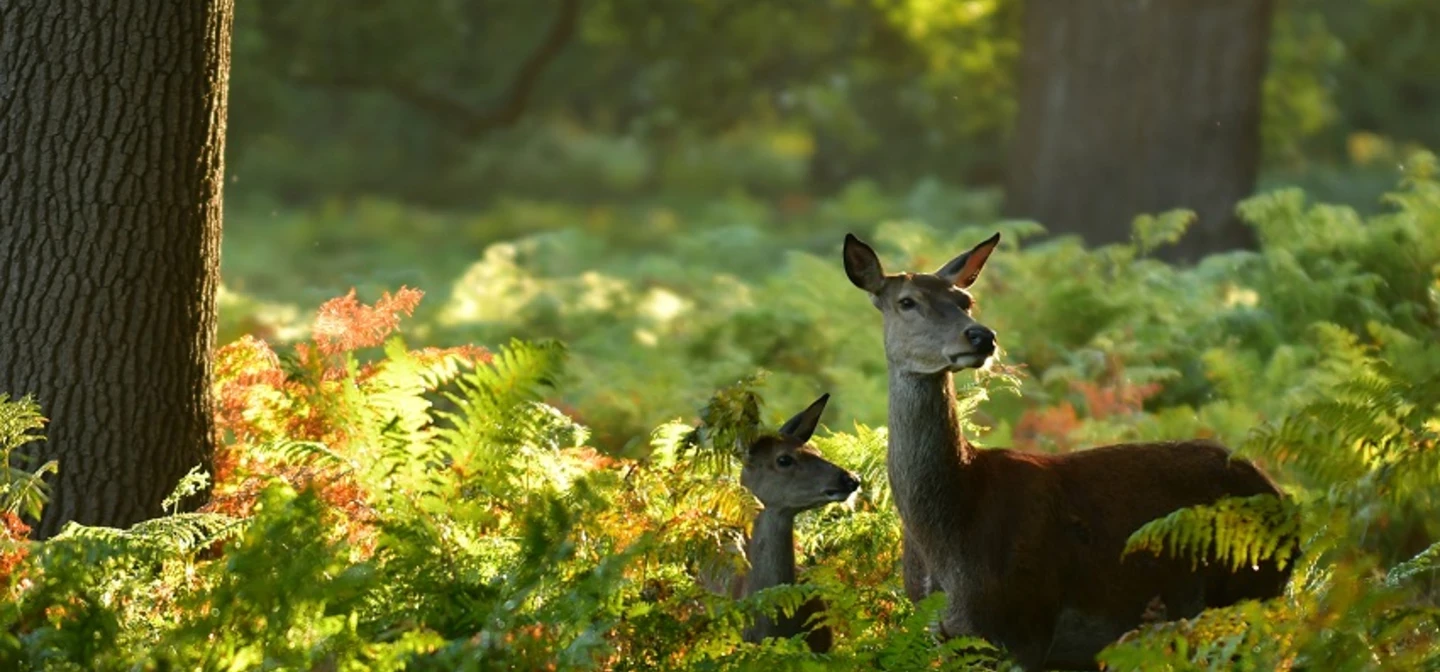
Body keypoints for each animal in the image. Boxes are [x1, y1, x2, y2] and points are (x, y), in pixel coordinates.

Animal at [840, 234, 1290, 670]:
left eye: (965, 300)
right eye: (906, 301)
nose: (982, 336)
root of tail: (1280, 497)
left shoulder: (1024, 629)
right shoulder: (947, 638)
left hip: (1246, 595)